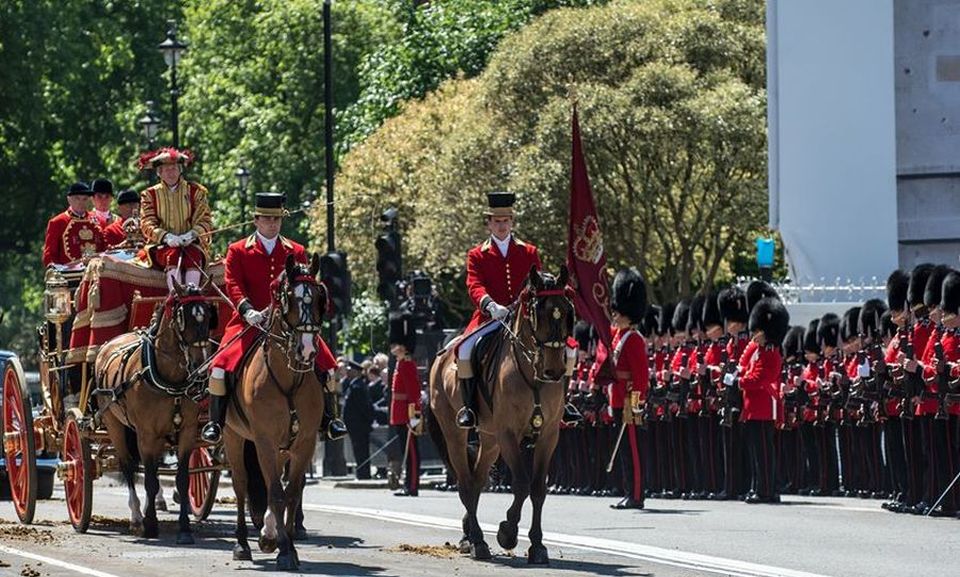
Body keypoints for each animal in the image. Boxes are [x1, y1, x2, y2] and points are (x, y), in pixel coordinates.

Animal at [94, 282, 219, 544]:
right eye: (182, 318)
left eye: (208, 315)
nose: (201, 368)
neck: (170, 380)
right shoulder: (147, 433)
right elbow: (149, 479)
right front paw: (150, 524)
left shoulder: (187, 432)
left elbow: (182, 479)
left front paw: (184, 528)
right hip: (114, 424)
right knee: (128, 466)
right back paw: (136, 517)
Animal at [223, 254, 328, 568]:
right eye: (289, 297)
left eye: (319, 296)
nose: (307, 349)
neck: (288, 377)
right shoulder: (265, 441)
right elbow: (276, 494)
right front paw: (284, 549)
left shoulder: (304, 442)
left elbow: (289, 493)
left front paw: (284, 543)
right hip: (233, 436)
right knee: (241, 485)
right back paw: (242, 543)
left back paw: (266, 533)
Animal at [430, 266, 576, 564]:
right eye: (538, 311)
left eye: (567, 310)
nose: (554, 370)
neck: (532, 371)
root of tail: (442, 355)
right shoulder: (509, 433)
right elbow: (520, 483)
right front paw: (507, 532)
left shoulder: (548, 435)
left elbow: (538, 488)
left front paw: (537, 546)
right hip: (456, 434)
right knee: (465, 482)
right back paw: (477, 541)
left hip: (490, 440)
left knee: (476, 481)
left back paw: (469, 536)